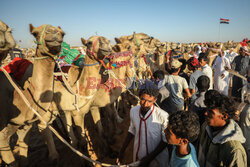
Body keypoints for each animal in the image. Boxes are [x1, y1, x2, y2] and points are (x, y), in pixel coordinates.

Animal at [0, 23, 64, 166]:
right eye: (35, 33)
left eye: (63, 33)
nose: (54, 34)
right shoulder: (2, 135)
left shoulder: (26, 123)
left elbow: (24, 151)